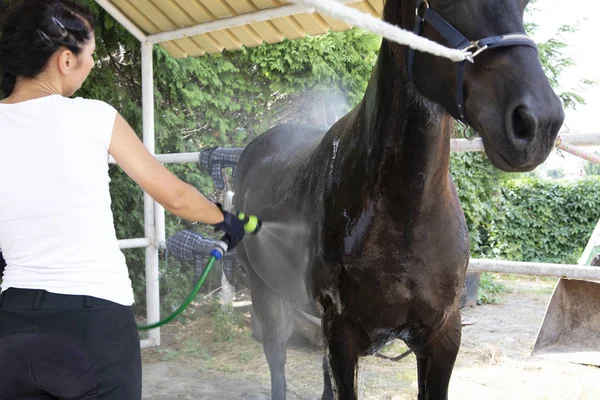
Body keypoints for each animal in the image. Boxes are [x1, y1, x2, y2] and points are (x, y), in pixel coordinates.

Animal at [233, 1, 564, 398]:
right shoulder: (343, 334)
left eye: (524, 6)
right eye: (443, 3)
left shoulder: (443, 335)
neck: (405, 215)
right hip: (265, 292)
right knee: (277, 357)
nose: (540, 121)